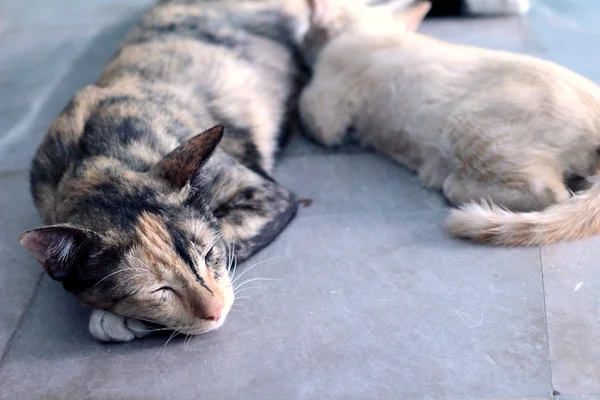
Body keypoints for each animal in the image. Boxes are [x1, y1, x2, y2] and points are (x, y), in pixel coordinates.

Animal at [18, 0, 310, 344]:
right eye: (158, 290)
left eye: (209, 253)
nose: (216, 309)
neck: (93, 156)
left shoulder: (265, 194)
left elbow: (227, 233)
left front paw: (112, 318)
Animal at [298, 0, 600, 247]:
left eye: (307, 33)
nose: (302, 41)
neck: (369, 29)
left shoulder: (325, 106)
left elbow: (306, 110)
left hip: (465, 125)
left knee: (552, 193)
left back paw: (453, 182)